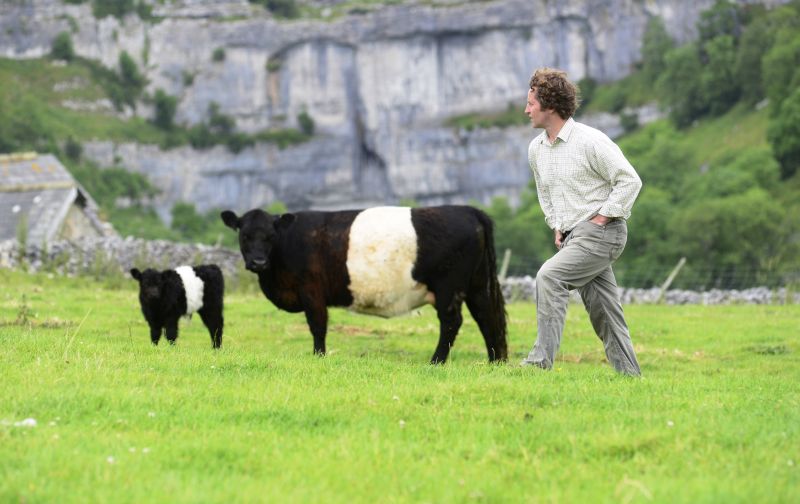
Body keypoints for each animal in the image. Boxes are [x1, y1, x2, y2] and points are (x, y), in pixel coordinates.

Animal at [220, 205, 506, 362]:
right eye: (244, 235)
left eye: (270, 235)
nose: (258, 262)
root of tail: (468, 210)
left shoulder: (311, 290)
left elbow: (318, 327)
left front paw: (318, 357)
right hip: (478, 284)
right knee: (487, 317)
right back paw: (495, 361)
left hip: (449, 287)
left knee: (451, 322)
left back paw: (436, 361)